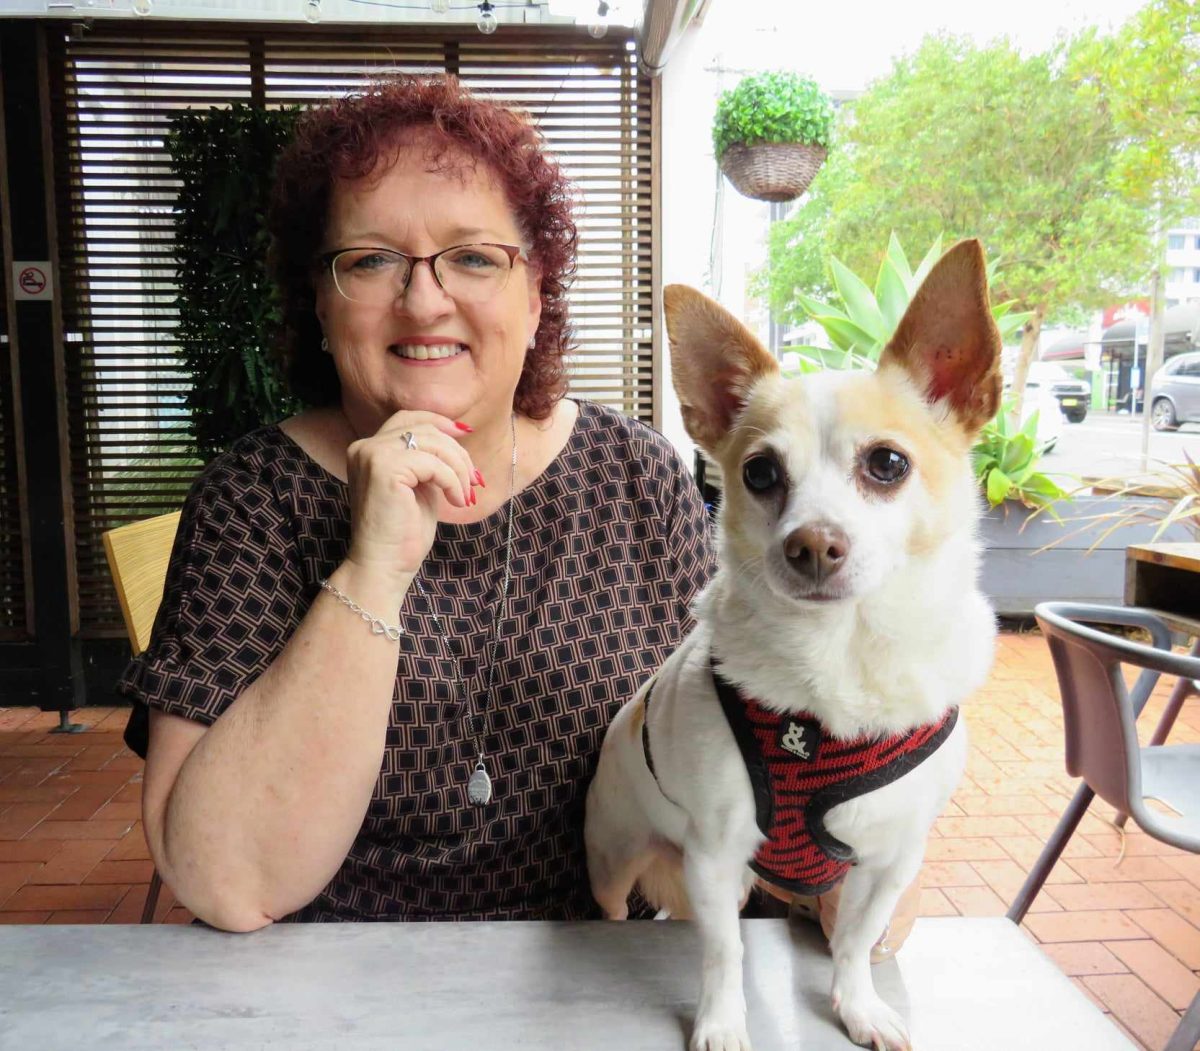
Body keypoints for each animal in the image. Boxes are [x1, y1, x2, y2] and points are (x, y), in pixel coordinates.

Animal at [585, 239, 998, 1051]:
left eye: (888, 464)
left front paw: (857, 1004)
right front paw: (721, 1022)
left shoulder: (888, 863)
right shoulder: (716, 854)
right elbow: (724, 952)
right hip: (615, 859)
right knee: (617, 908)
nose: (811, 544)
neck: (842, 655)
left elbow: (856, 941)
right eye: (760, 473)